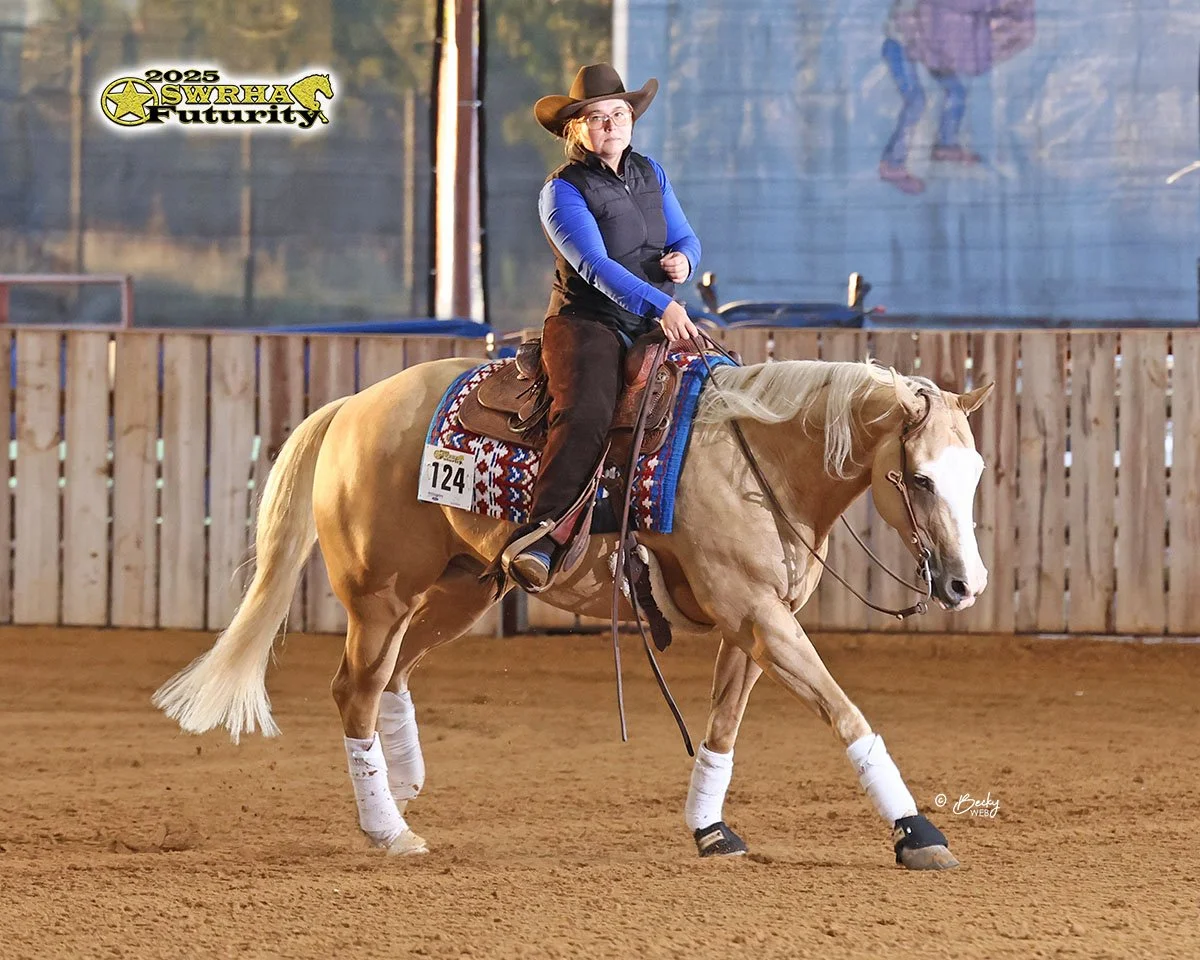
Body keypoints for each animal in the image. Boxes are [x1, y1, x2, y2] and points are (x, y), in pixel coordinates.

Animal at [152, 350, 993, 868]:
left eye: (976, 472)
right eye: (919, 478)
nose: (965, 585)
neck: (757, 461)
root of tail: (356, 406)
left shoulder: (755, 625)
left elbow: (722, 730)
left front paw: (709, 828)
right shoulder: (759, 616)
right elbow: (846, 713)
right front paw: (917, 832)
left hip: (465, 587)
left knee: (390, 678)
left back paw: (404, 782)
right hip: (381, 593)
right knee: (354, 690)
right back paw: (389, 827)